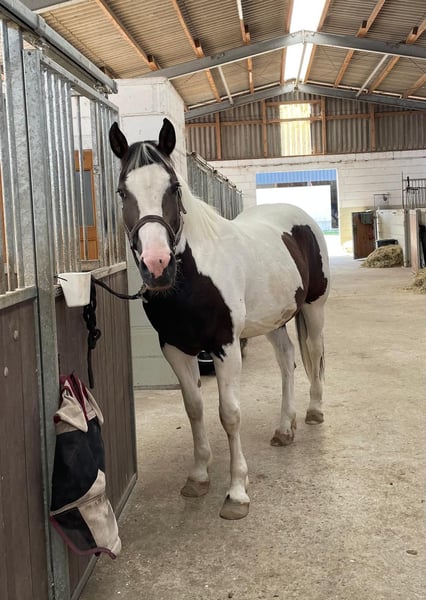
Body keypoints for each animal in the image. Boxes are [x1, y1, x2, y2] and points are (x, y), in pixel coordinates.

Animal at [109, 117, 330, 520]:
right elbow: (194, 408)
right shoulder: (175, 348)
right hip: (272, 320)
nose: (157, 265)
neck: (193, 276)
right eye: (122, 192)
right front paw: (198, 476)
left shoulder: (227, 346)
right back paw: (284, 428)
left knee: (314, 353)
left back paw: (313, 412)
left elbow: (229, 414)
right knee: (287, 361)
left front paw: (237, 492)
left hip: (314, 308)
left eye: (174, 187)